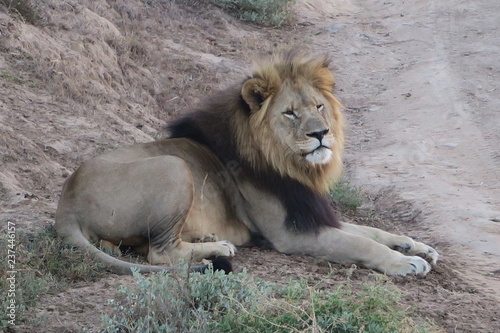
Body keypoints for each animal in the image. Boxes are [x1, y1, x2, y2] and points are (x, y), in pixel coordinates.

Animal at [54, 50, 438, 274]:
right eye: (289, 113)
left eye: (318, 106)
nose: (321, 133)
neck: (292, 165)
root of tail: (65, 204)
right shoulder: (290, 233)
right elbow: (361, 243)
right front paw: (406, 262)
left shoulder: (307, 212)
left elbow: (370, 230)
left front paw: (415, 245)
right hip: (173, 167)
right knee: (159, 254)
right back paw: (217, 247)